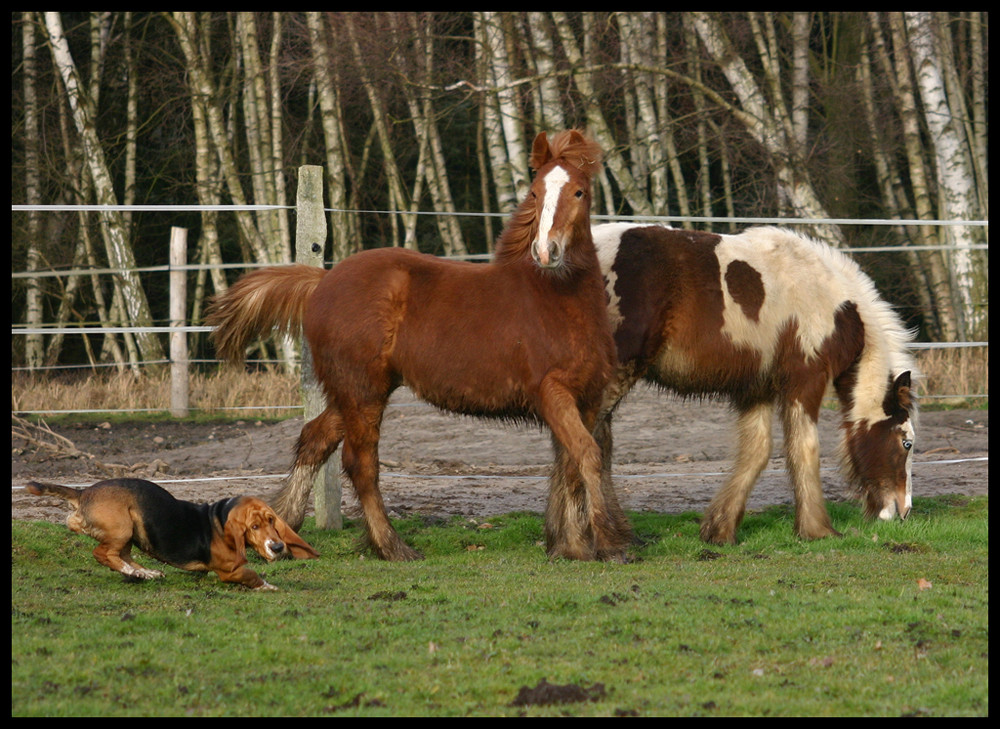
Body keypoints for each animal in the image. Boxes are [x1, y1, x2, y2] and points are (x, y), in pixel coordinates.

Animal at [26, 478, 316, 592]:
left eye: (271, 520)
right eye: (253, 527)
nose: (277, 547)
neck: (218, 519)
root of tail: (84, 492)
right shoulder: (230, 571)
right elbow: (253, 576)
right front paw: (270, 587)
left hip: (130, 533)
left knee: (121, 555)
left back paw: (147, 573)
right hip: (121, 528)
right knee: (103, 553)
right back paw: (137, 573)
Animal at [205, 131, 632, 564]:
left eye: (579, 191)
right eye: (534, 191)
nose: (546, 252)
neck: (557, 298)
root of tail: (321, 282)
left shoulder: (587, 398)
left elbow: (572, 466)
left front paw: (572, 545)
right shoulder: (552, 393)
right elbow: (589, 457)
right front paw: (609, 545)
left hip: (355, 393)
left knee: (314, 439)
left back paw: (284, 525)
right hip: (362, 392)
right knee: (361, 464)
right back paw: (392, 547)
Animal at [560, 225, 916, 544]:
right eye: (906, 443)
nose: (903, 511)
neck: (834, 304)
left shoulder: (756, 389)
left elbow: (757, 452)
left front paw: (719, 529)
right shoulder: (805, 382)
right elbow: (805, 448)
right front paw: (817, 529)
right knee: (584, 443)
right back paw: (586, 542)